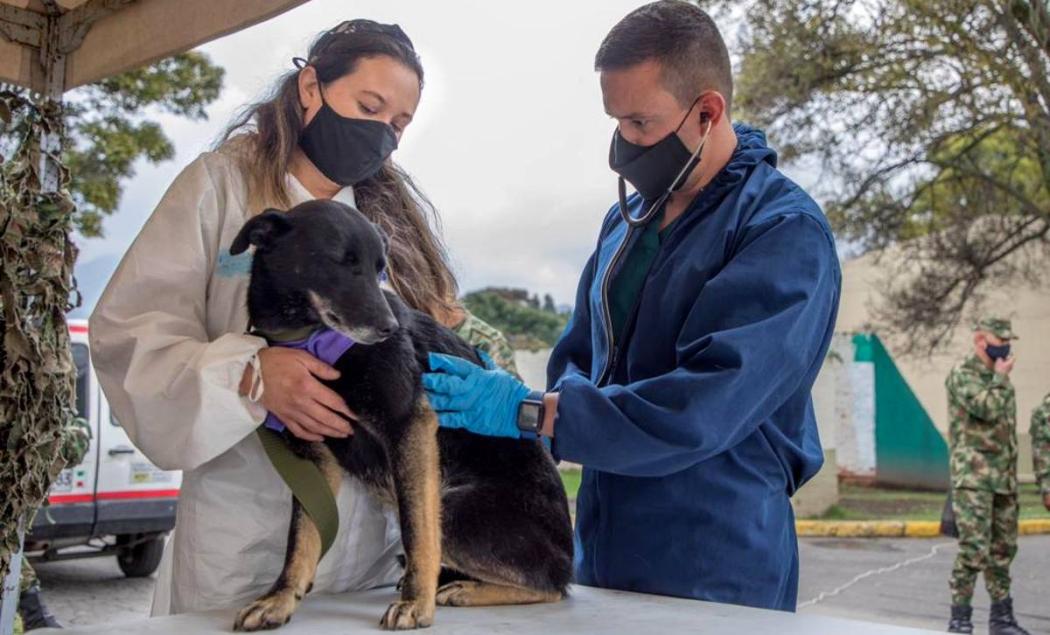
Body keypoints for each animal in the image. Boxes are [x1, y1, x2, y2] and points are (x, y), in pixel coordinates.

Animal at [230, 199, 575, 629]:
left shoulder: (408, 424)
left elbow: (417, 531)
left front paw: (416, 602)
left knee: (551, 585)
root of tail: (569, 555)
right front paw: (280, 597)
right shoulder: (312, 455)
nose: (391, 328)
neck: (310, 338)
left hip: (454, 507)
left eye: (381, 269)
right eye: (342, 262)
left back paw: (466, 589)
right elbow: (301, 535)